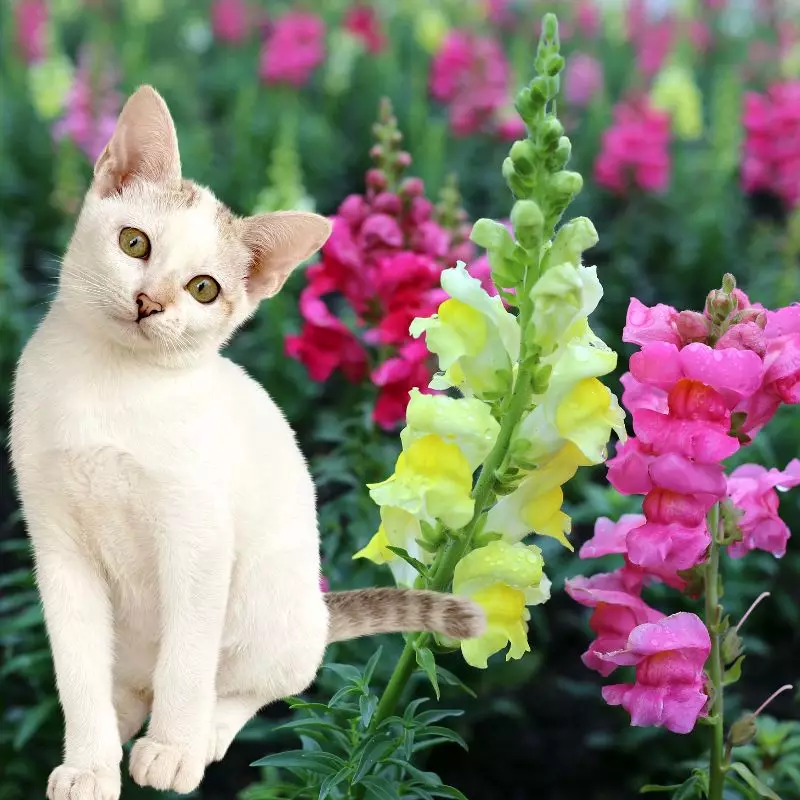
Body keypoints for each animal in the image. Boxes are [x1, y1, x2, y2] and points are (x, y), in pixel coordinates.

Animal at [9, 87, 484, 800]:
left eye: (204, 289)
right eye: (133, 243)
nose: (149, 302)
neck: (112, 386)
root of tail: (317, 612)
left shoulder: (198, 538)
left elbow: (189, 662)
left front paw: (172, 751)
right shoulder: (59, 548)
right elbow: (77, 672)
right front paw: (89, 764)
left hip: (267, 601)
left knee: (265, 680)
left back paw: (199, 731)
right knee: (131, 682)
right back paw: (119, 724)